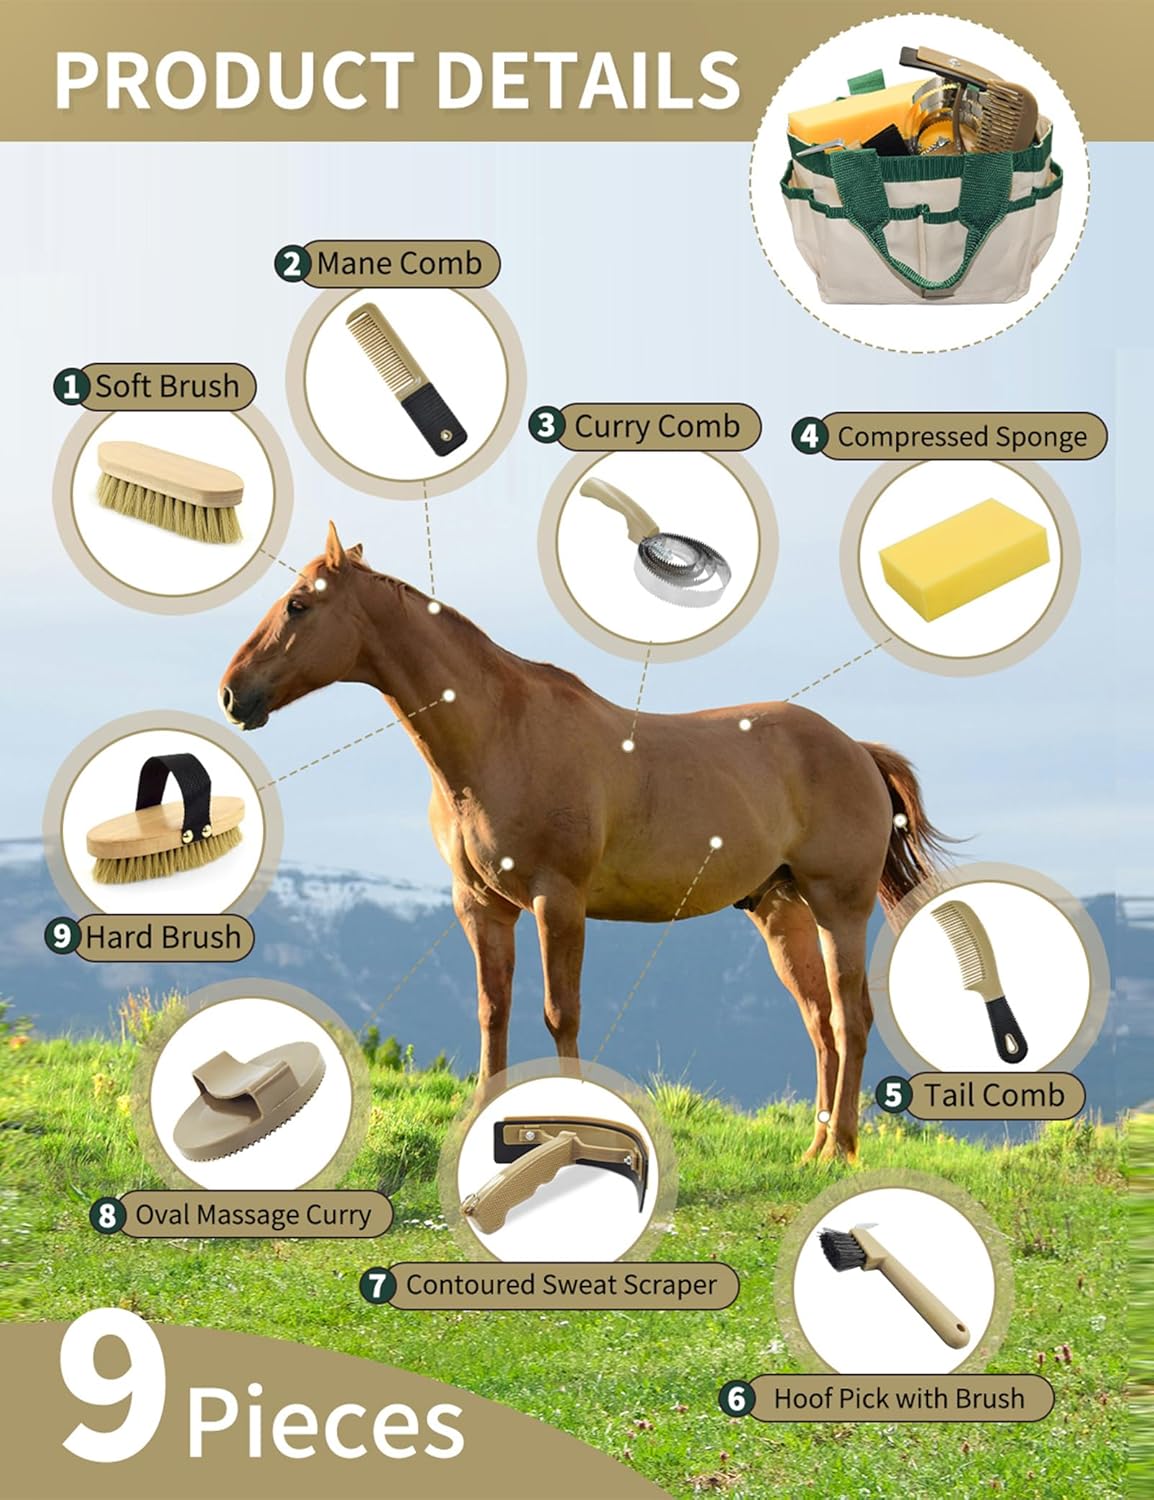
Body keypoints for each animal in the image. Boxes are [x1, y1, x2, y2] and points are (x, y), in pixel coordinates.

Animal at [220, 523, 946, 1161]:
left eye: (298, 604)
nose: (232, 694)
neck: (499, 735)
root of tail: (856, 748)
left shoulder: (558, 900)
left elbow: (558, 1013)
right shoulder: (480, 905)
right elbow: (492, 1010)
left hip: (838, 906)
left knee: (851, 1018)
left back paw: (839, 1151)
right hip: (779, 911)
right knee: (821, 1022)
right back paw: (814, 1148)